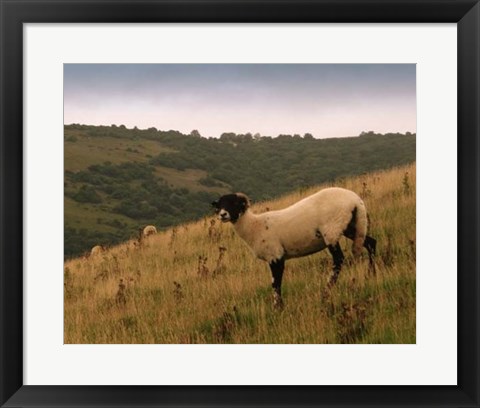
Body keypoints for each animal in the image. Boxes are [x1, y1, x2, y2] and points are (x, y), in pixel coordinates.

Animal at [212, 190, 376, 308]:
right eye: (219, 205)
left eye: (234, 203)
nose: (223, 214)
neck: (254, 226)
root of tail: (356, 200)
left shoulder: (275, 256)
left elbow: (276, 284)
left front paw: (278, 308)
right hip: (351, 226)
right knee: (371, 243)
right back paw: (371, 274)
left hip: (332, 230)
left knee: (339, 260)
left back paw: (325, 292)